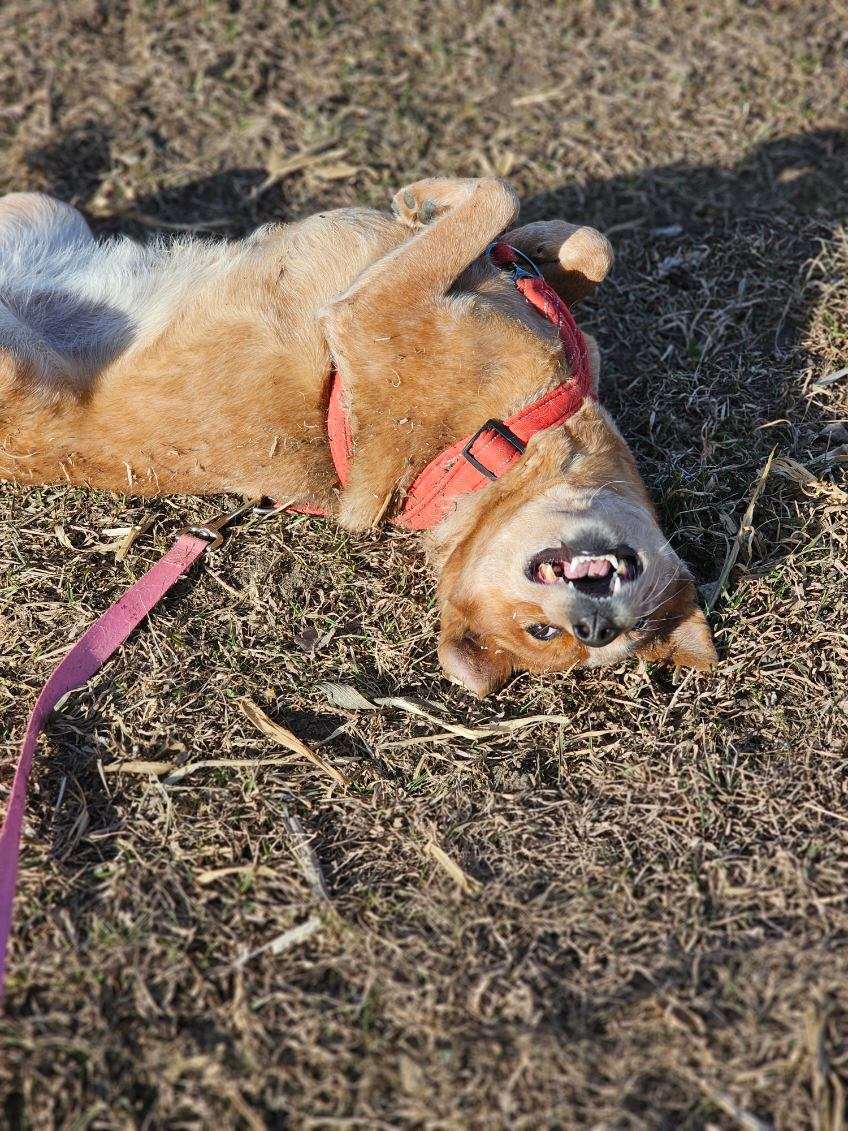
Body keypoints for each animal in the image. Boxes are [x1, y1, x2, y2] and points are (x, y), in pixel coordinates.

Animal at [0, 176, 719, 692]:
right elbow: (571, 237)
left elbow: (504, 202)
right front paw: (449, 207)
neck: (497, 443)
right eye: (544, 633)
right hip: (37, 210)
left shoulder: (373, 311)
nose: (596, 625)